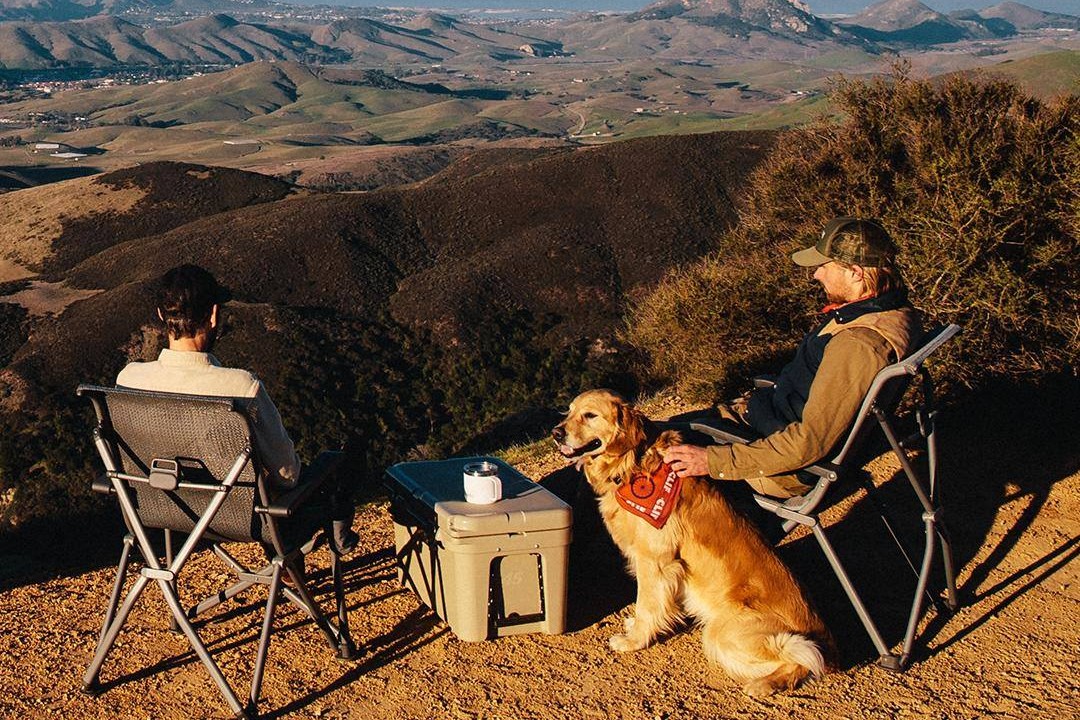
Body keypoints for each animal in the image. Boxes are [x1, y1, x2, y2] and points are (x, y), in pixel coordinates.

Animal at [552, 390, 829, 695]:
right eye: (568, 412)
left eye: (590, 415)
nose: (556, 433)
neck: (633, 464)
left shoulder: (655, 561)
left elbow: (646, 604)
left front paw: (634, 640)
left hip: (726, 633)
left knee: (803, 659)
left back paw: (764, 683)